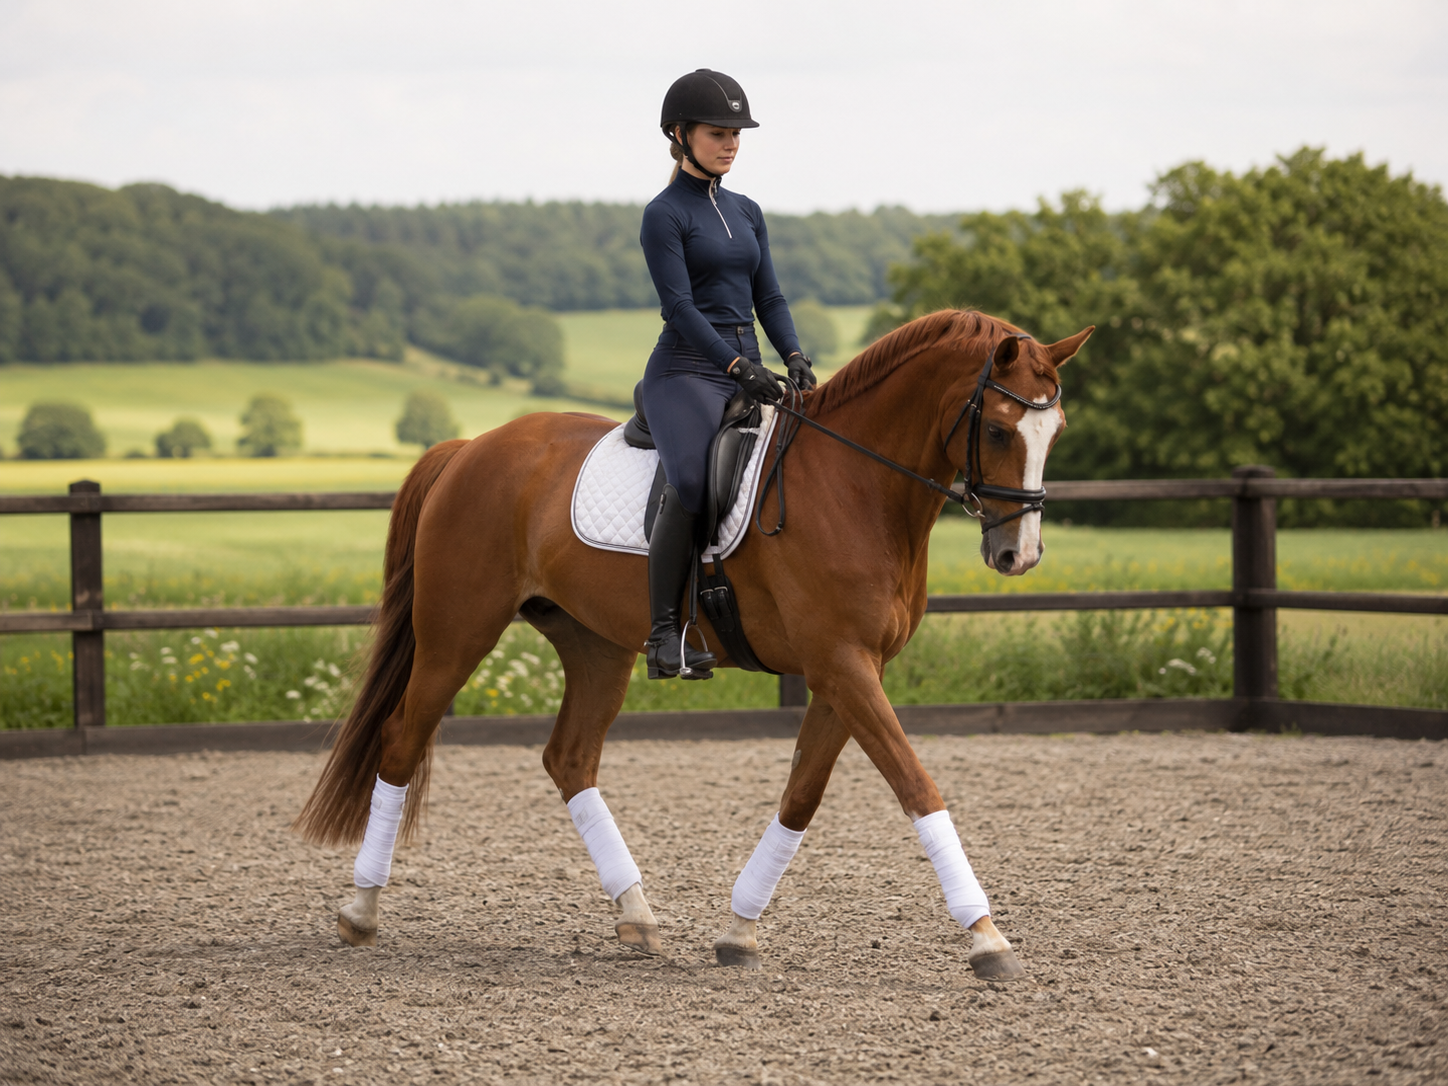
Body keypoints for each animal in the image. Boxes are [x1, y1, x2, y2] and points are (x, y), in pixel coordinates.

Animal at [295, 309, 1093, 978]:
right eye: (998, 431)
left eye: (1055, 433)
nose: (1018, 556)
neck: (855, 485)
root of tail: (471, 448)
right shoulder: (842, 665)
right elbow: (916, 784)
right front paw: (986, 937)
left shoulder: (847, 670)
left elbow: (803, 795)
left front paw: (739, 930)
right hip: (457, 633)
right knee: (403, 739)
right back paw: (360, 910)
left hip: (595, 645)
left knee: (569, 759)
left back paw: (637, 916)